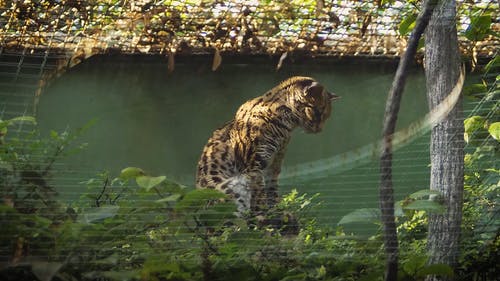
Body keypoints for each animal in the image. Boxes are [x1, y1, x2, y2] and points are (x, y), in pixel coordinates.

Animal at [195, 76, 340, 217]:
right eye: (318, 112)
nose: (319, 130)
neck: (286, 125)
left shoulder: (275, 163)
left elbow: (272, 188)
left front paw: (276, 208)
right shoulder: (254, 164)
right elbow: (259, 191)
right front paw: (262, 212)